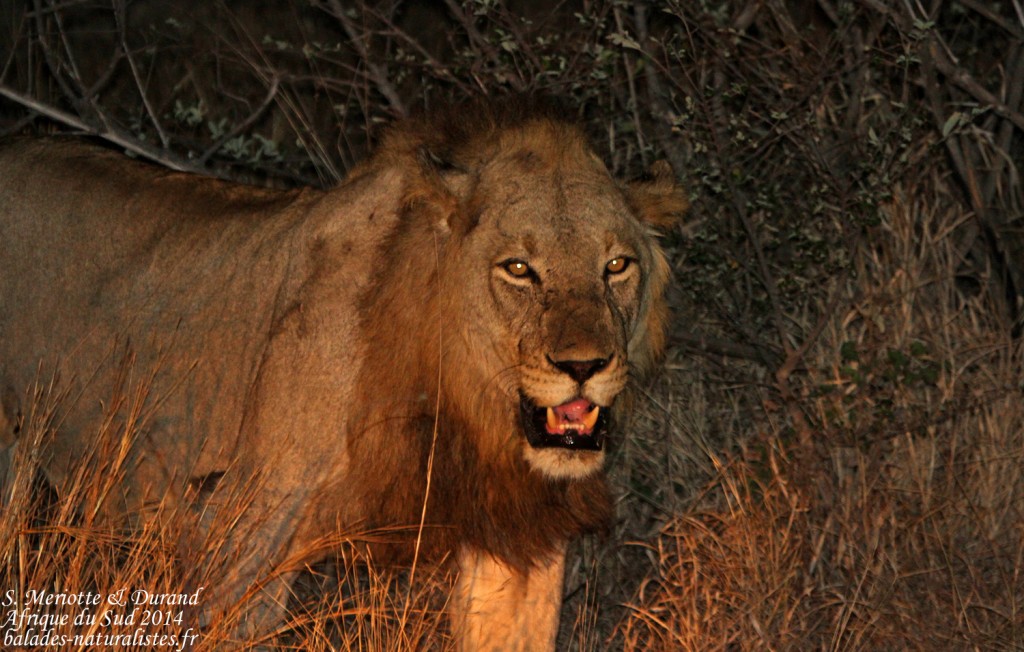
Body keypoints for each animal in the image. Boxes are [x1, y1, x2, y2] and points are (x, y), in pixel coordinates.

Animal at [0, 100, 685, 650]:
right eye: (518, 268)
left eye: (616, 265)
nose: (584, 367)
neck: (463, 405)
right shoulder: (247, 531)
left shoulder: (518, 543)